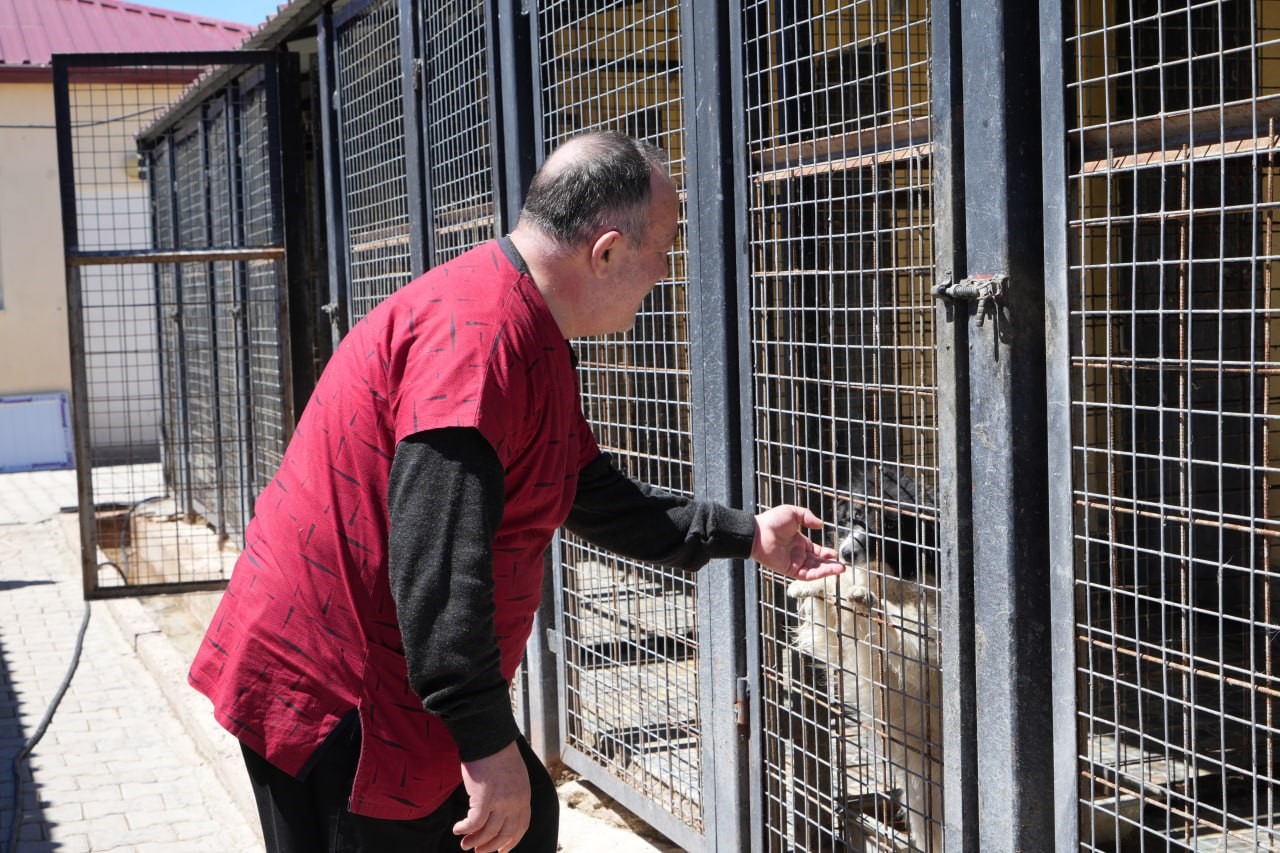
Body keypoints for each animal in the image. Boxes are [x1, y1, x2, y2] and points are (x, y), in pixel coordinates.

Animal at [783, 466, 947, 850]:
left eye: (886, 525)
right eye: (851, 516)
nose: (844, 553)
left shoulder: (924, 643)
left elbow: (904, 630)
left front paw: (869, 601)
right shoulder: (843, 642)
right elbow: (833, 612)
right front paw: (812, 586)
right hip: (921, 782)